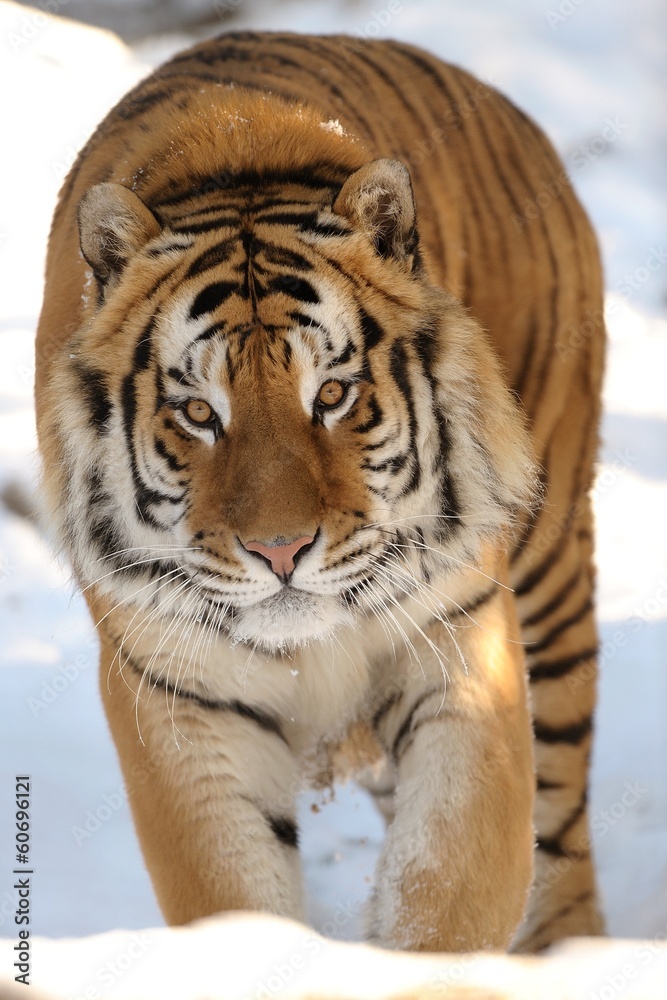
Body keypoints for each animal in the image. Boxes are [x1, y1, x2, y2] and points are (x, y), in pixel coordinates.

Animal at [35, 31, 605, 952]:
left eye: (332, 395)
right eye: (199, 412)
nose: (280, 550)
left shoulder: (461, 641)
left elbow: (448, 877)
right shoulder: (179, 694)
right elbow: (233, 896)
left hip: (551, 564)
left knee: (558, 803)